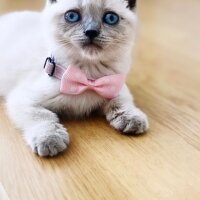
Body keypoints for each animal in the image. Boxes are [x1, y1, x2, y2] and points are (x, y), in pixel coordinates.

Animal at [0, 0, 148, 156]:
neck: (88, 77)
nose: (91, 31)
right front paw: (50, 138)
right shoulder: (22, 99)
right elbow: (43, 116)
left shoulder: (115, 85)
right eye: (72, 16)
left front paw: (132, 118)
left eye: (111, 18)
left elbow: (122, 101)